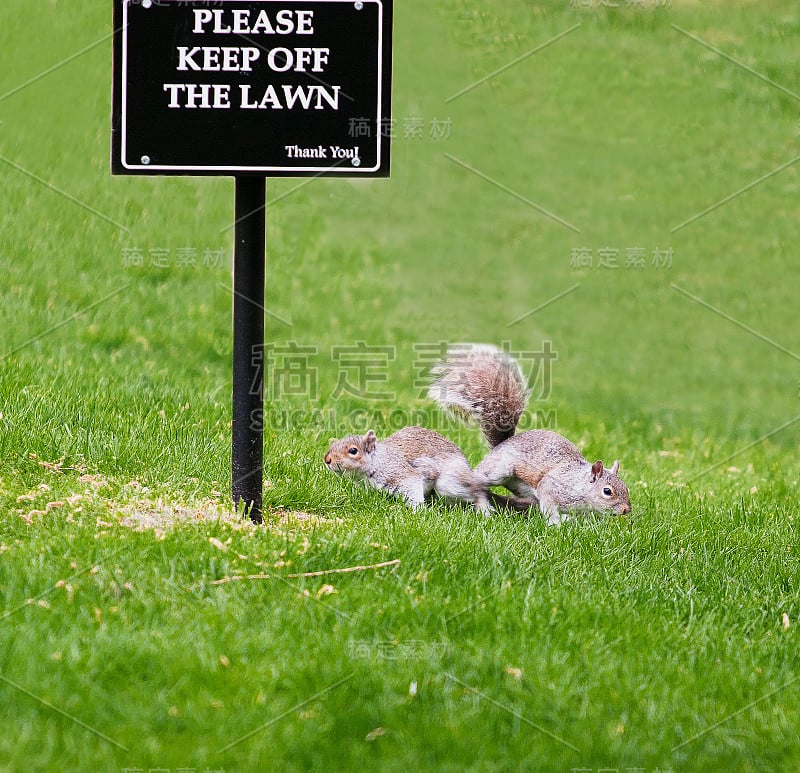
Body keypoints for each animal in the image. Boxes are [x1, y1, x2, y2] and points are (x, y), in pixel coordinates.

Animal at [322, 422, 490, 512]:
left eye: (353, 451)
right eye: (333, 445)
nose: (327, 459)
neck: (378, 460)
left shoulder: (402, 474)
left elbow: (413, 488)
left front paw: (417, 511)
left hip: (450, 484)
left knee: (476, 492)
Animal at [432, 344, 632, 524]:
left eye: (626, 487)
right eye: (607, 491)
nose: (626, 510)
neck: (579, 484)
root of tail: (501, 445)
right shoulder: (551, 487)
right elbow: (550, 506)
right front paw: (555, 524)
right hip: (500, 470)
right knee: (479, 481)